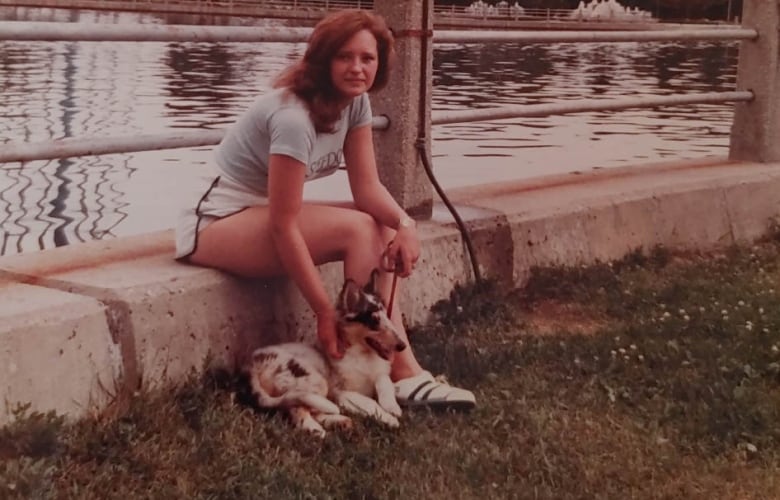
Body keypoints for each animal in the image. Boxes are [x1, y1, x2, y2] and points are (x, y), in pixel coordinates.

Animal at [245, 270, 408, 438]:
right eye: (374, 321)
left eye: (387, 316)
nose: (402, 346)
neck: (363, 355)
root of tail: (254, 365)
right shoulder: (342, 392)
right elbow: (370, 402)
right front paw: (389, 418)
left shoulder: (378, 374)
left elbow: (385, 382)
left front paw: (392, 407)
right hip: (313, 381)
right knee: (297, 409)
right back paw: (315, 429)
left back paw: (340, 421)